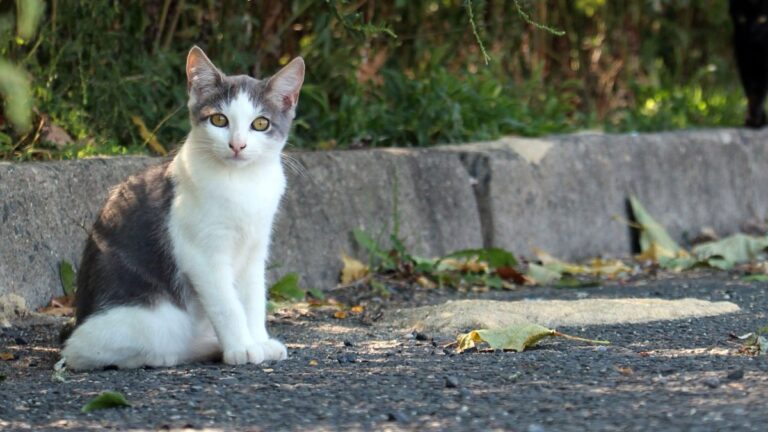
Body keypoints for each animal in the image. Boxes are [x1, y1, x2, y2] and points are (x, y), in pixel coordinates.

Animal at [60, 47, 306, 370]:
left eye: (261, 124)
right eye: (219, 120)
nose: (237, 145)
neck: (242, 183)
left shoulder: (255, 248)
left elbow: (254, 298)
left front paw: (260, 341)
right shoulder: (201, 254)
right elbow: (227, 305)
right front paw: (242, 347)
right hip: (152, 320)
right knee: (121, 350)